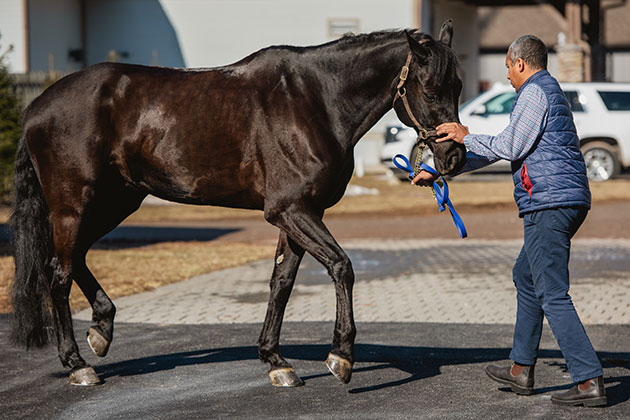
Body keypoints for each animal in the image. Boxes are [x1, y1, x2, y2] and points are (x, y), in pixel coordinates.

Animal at [8, 20, 464, 388]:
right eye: (430, 90)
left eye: (457, 87)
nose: (454, 157)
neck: (315, 100)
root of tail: (36, 107)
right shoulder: (290, 211)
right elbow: (342, 267)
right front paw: (341, 356)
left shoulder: (298, 215)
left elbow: (282, 283)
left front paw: (276, 361)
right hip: (73, 205)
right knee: (59, 273)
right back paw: (77, 364)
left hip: (117, 201)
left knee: (77, 259)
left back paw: (101, 330)